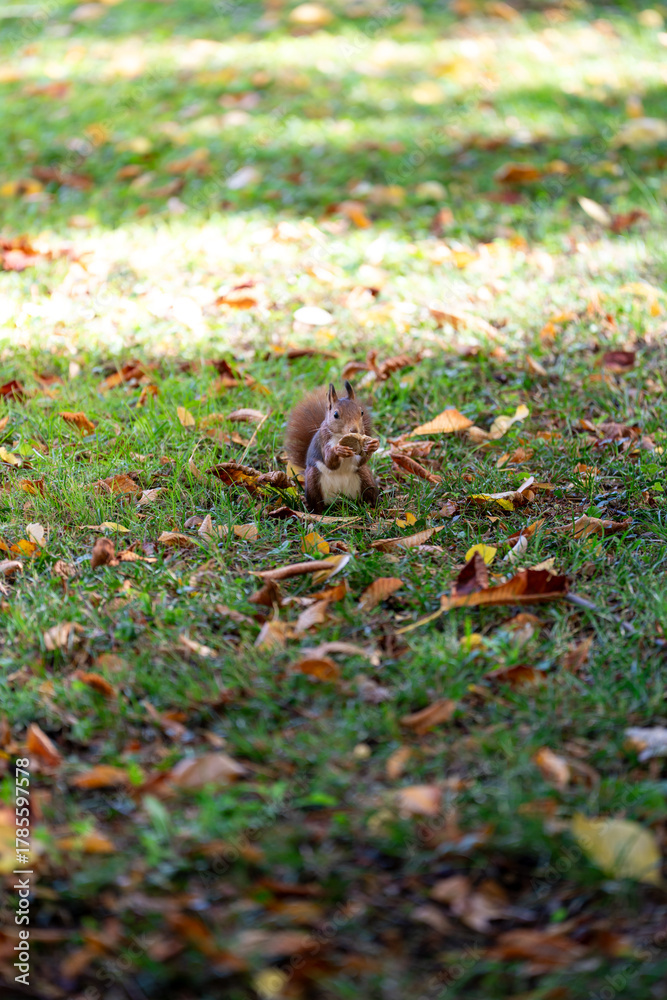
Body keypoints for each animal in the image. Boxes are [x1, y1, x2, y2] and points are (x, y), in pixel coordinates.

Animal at [285, 380, 380, 514]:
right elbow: (329, 462)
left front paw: (372, 446)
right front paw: (338, 450)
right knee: (317, 503)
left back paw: (371, 507)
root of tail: (339, 498)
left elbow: (360, 461)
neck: (340, 436)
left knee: (369, 495)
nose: (354, 430)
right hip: (313, 482)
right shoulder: (324, 442)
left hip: (365, 478)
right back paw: (316, 511)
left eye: (361, 412)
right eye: (335, 414)